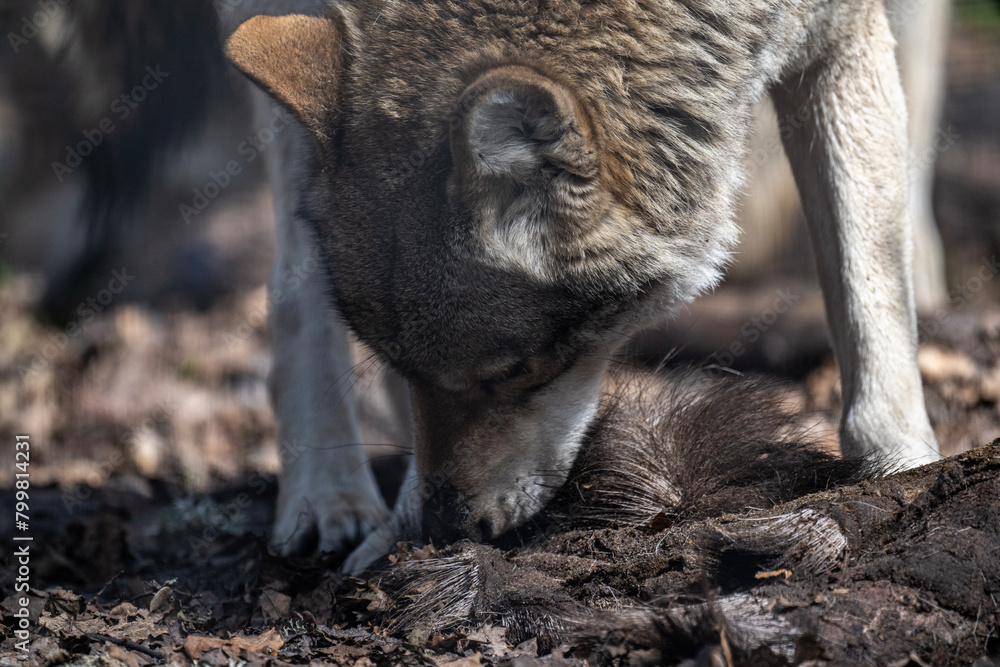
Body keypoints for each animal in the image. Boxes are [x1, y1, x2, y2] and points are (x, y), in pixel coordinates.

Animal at [219, 0, 941, 573]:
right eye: (397, 365)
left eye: (513, 371)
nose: (446, 528)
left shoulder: (840, 36)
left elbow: (869, 287)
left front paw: (901, 469)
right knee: (291, 279)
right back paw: (327, 495)